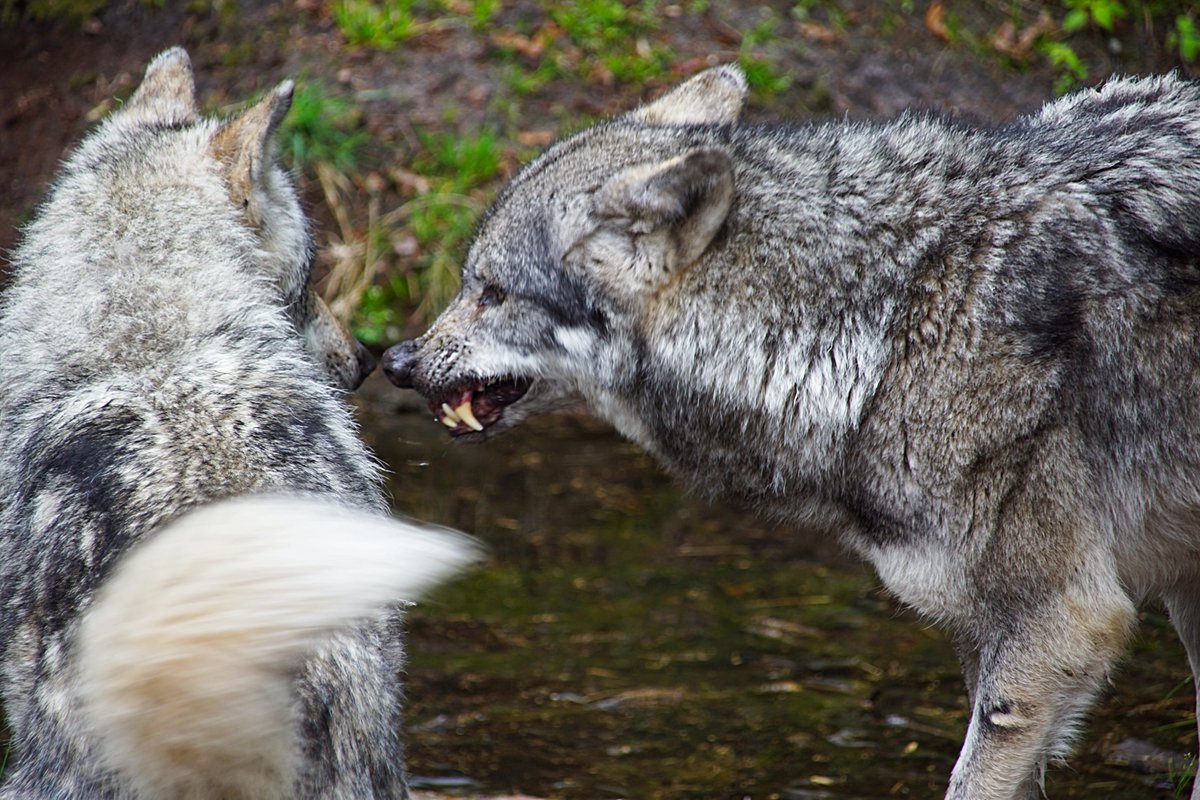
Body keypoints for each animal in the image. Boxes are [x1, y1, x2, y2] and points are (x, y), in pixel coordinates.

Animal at [382, 65, 1200, 798]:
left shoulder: (1061, 625)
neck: (878, 331)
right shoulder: (984, 633)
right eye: (469, 285)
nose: (395, 361)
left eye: (492, 293)